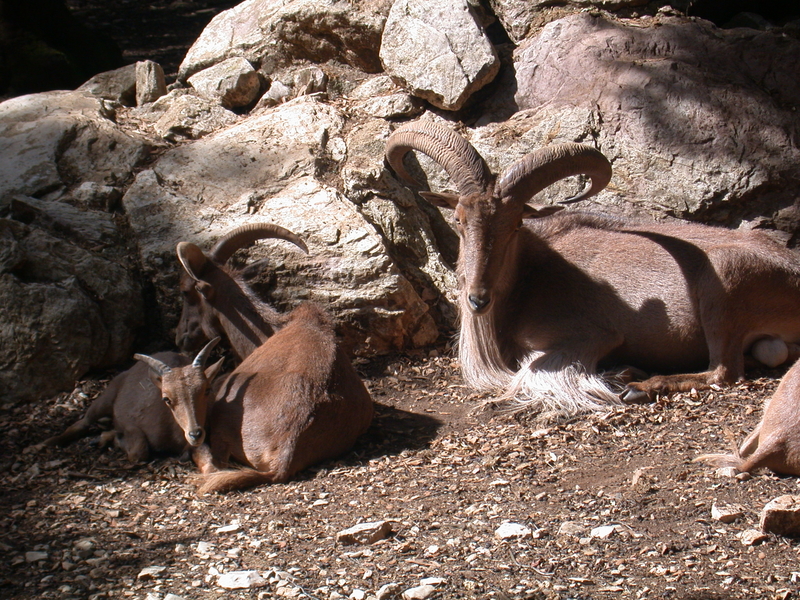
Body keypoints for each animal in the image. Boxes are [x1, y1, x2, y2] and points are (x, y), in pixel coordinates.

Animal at [38, 340, 222, 462]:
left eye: (207, 390)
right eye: (166, 399)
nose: (195, 434)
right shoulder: (129, 421)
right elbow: (138, 452)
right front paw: (112, 438)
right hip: (106, 396)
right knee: (82, 422)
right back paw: (46, 443)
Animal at [382, 119, 800, 420]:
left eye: (516, 224)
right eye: (458, 219)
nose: (477, 299)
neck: (528, 279)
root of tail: (793, 270)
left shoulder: (589, 336)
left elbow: (533, 371)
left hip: (724, 284)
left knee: (723, 372)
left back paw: (640, 385)